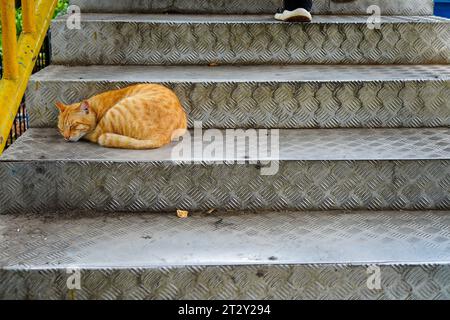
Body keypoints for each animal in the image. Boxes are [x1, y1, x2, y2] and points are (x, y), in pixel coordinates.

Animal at [55, 85, 186, 150]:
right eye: (61, 129)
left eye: (73, 126)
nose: (66, 137)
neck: (96, 108)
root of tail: (163, 135)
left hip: (112, 115)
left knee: (95, 136)